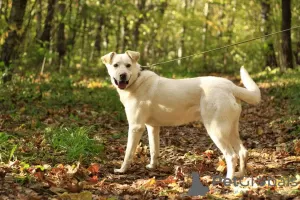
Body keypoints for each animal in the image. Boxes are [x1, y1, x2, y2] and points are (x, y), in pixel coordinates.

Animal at [101, 50, 260, 178]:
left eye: (128, 65)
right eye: (115, 65)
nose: (122, 75)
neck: (136, 80)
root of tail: (230, 86)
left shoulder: (135, 127)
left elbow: (128, 153)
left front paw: (122, 170)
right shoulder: (152, 127)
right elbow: (154, 150)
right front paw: (153, 167)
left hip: (216, 131)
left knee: (231, 155)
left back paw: (229, 178)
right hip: (231, 129)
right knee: (243, 151)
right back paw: (240, 174)